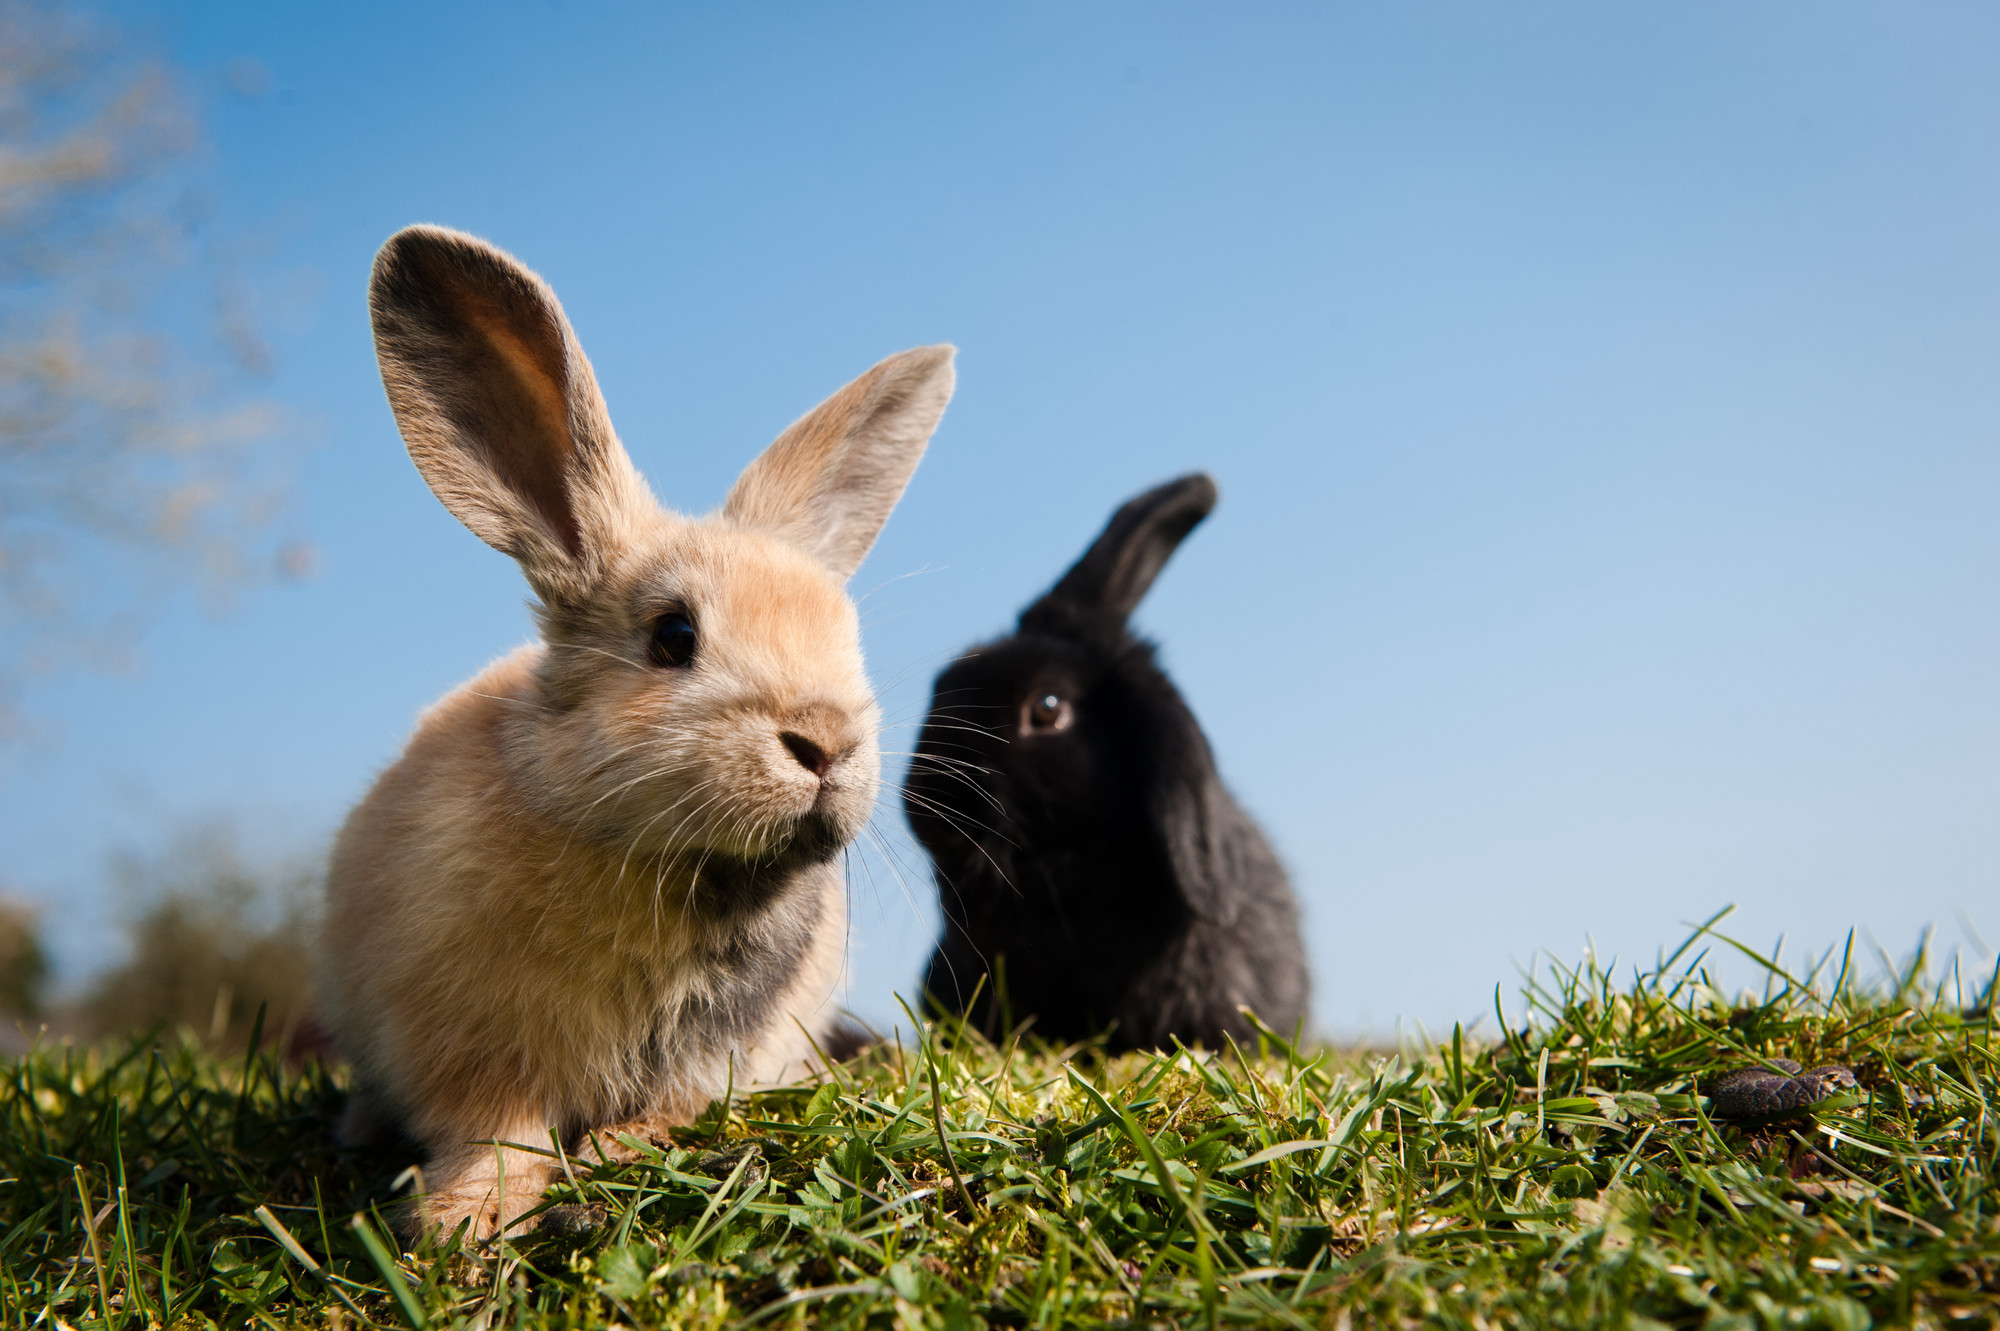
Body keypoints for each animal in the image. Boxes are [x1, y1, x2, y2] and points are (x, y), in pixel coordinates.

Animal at [320, 225, 960, 1231]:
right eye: (673, 636)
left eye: (847, 639)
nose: (824, 741)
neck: (671, 866)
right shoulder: (468, 1049)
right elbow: (500, 1129)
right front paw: (466, 1218)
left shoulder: (726, 1053)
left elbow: (676, 1108)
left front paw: (619, 1153)